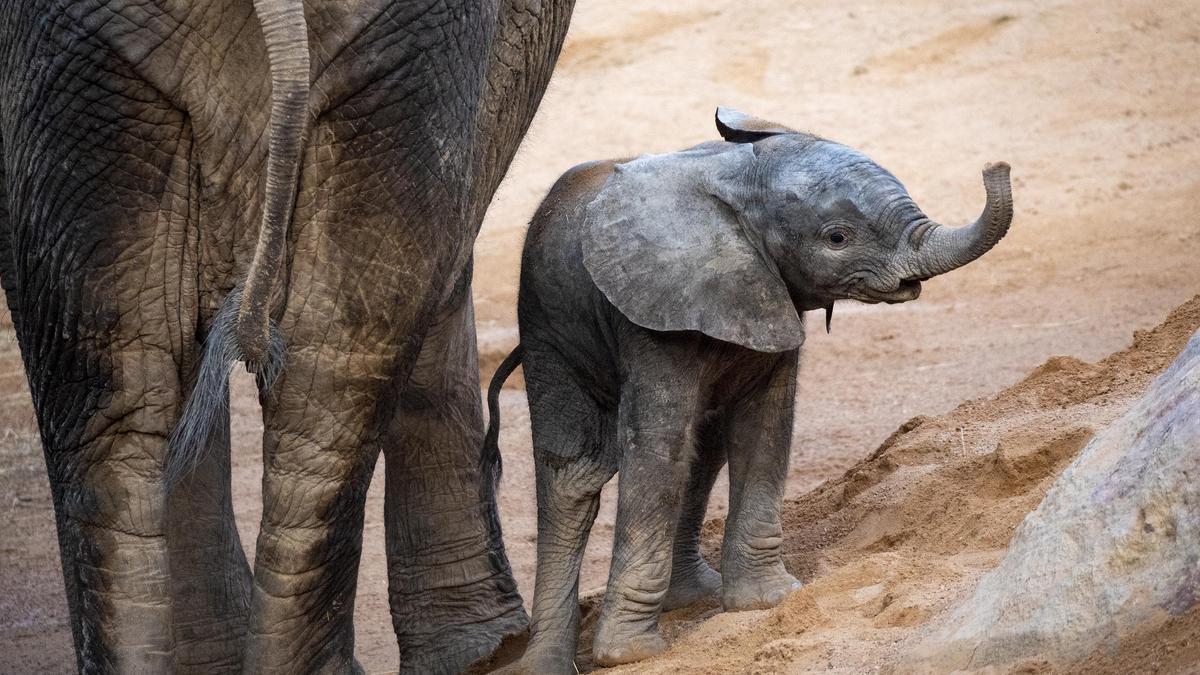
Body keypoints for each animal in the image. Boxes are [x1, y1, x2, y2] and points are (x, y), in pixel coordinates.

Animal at [482, 109, 1017, 667]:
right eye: (837, 238)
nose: (995, 165)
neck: (736, 180)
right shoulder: (647, 312)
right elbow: (656, 447)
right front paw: (629, 656)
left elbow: (764, 426)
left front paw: (767, 601)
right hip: (545, 322)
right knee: (574, 474)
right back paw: (547, 663)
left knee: (703, 446)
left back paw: (692, 596)